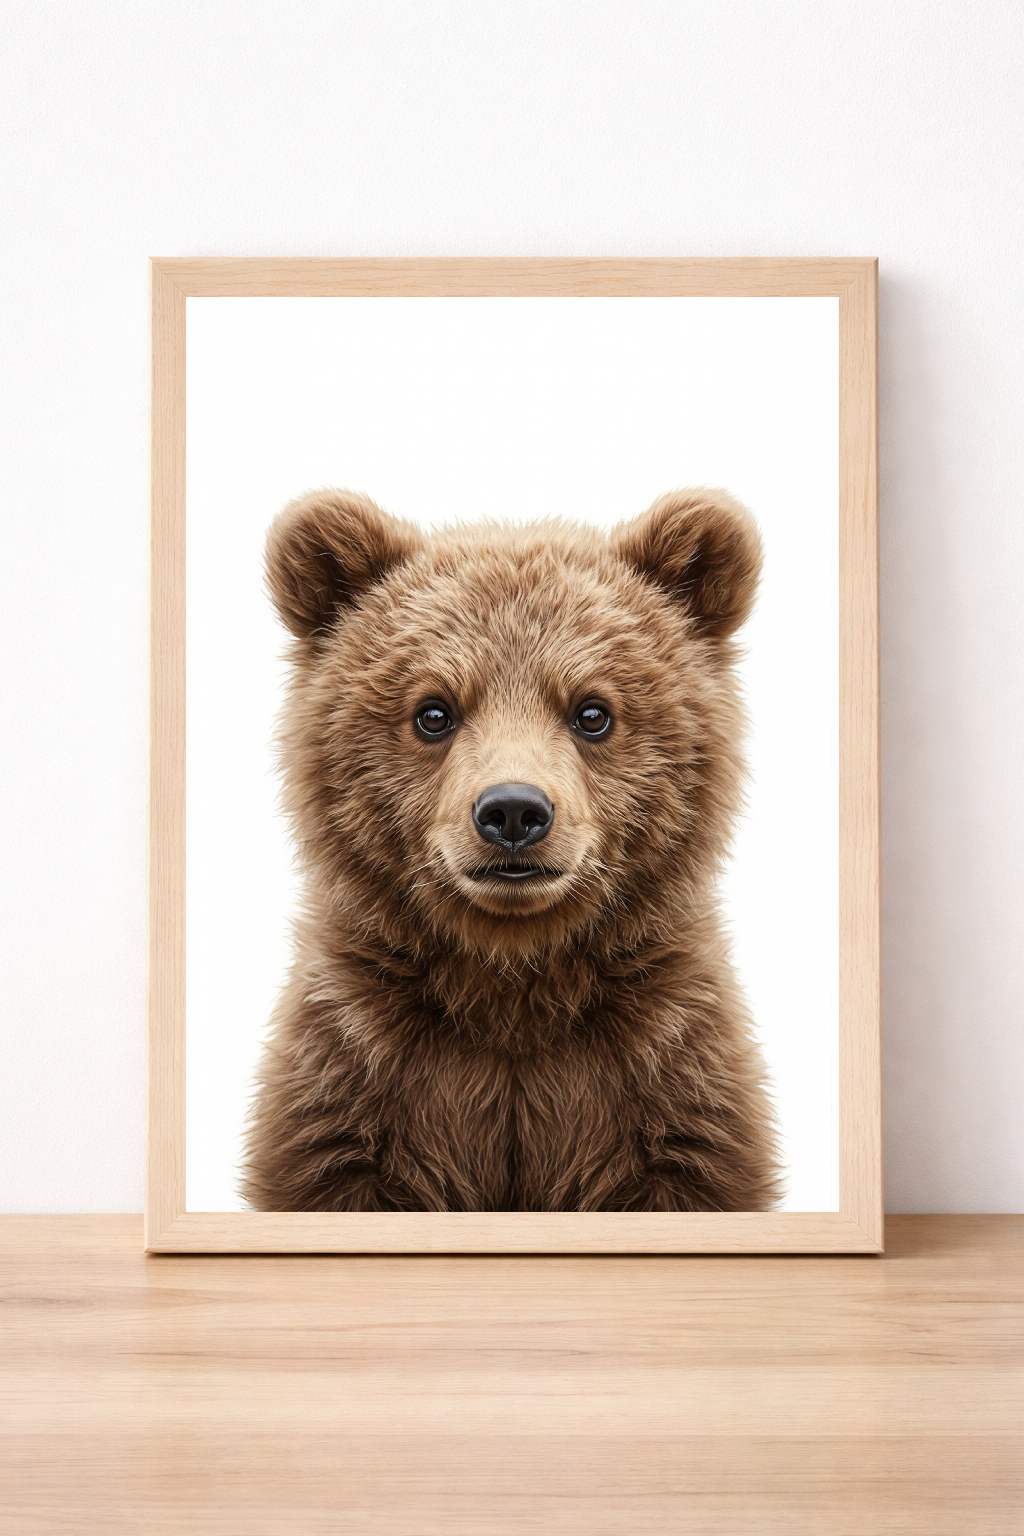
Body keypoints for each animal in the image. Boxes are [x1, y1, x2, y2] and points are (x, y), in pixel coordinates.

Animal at [241, 486, 780, 1212]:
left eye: (593, 711)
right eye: (433, 712)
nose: (514, 812)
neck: (510, 981)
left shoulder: (669, 1083)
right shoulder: (354, 1081)